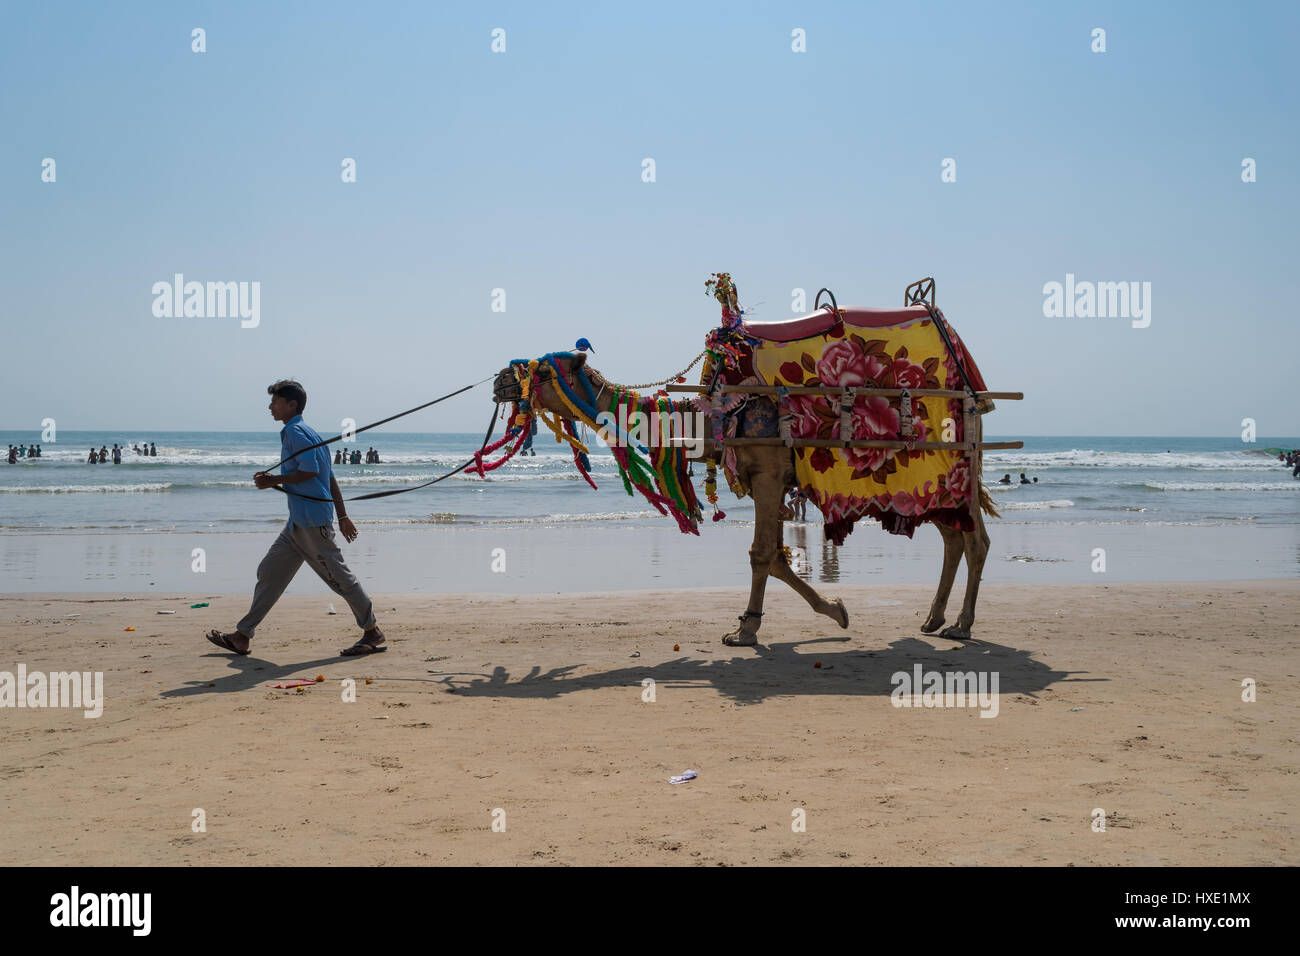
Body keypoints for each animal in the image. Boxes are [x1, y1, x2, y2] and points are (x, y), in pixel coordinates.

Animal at [486, 273, 1013, 647]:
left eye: (539, 369)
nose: (500, 380)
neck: (710, 415)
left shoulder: (768, 471)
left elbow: (762, 554)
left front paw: (748, 630)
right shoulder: (771, 478)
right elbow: (776, 556)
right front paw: (830, 611)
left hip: (953, 458)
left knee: (976, 539)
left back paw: (962, 625)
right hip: (932, 476)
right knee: (954, 535)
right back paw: (934, 618)